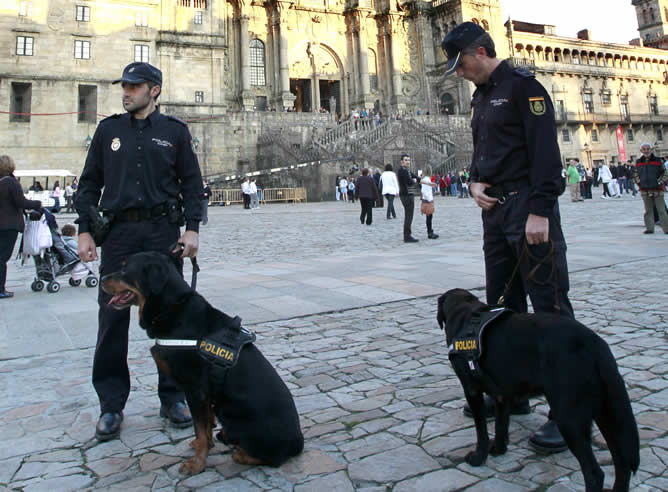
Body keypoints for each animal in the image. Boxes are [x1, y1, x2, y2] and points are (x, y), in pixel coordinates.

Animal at [101, 252, 302, 474]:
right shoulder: (203, 395)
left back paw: (239, 452)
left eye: (125, 269)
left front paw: (197, 463)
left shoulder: (195, 389)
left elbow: (200, 428)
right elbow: (204, 428)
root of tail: (297, 443)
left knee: (268, 457)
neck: (172, 308)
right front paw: (202, 447)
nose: (101, 279)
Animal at [436, 288, 640, 492]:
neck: (465, 311)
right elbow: (501, 425)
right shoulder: (502, 394)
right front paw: (498, 450)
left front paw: (478, 457)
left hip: (569, 415)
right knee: (622, 464)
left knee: (594, 473)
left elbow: (482, 431)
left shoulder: (471, 389)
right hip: (606, 411)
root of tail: (596, 345)